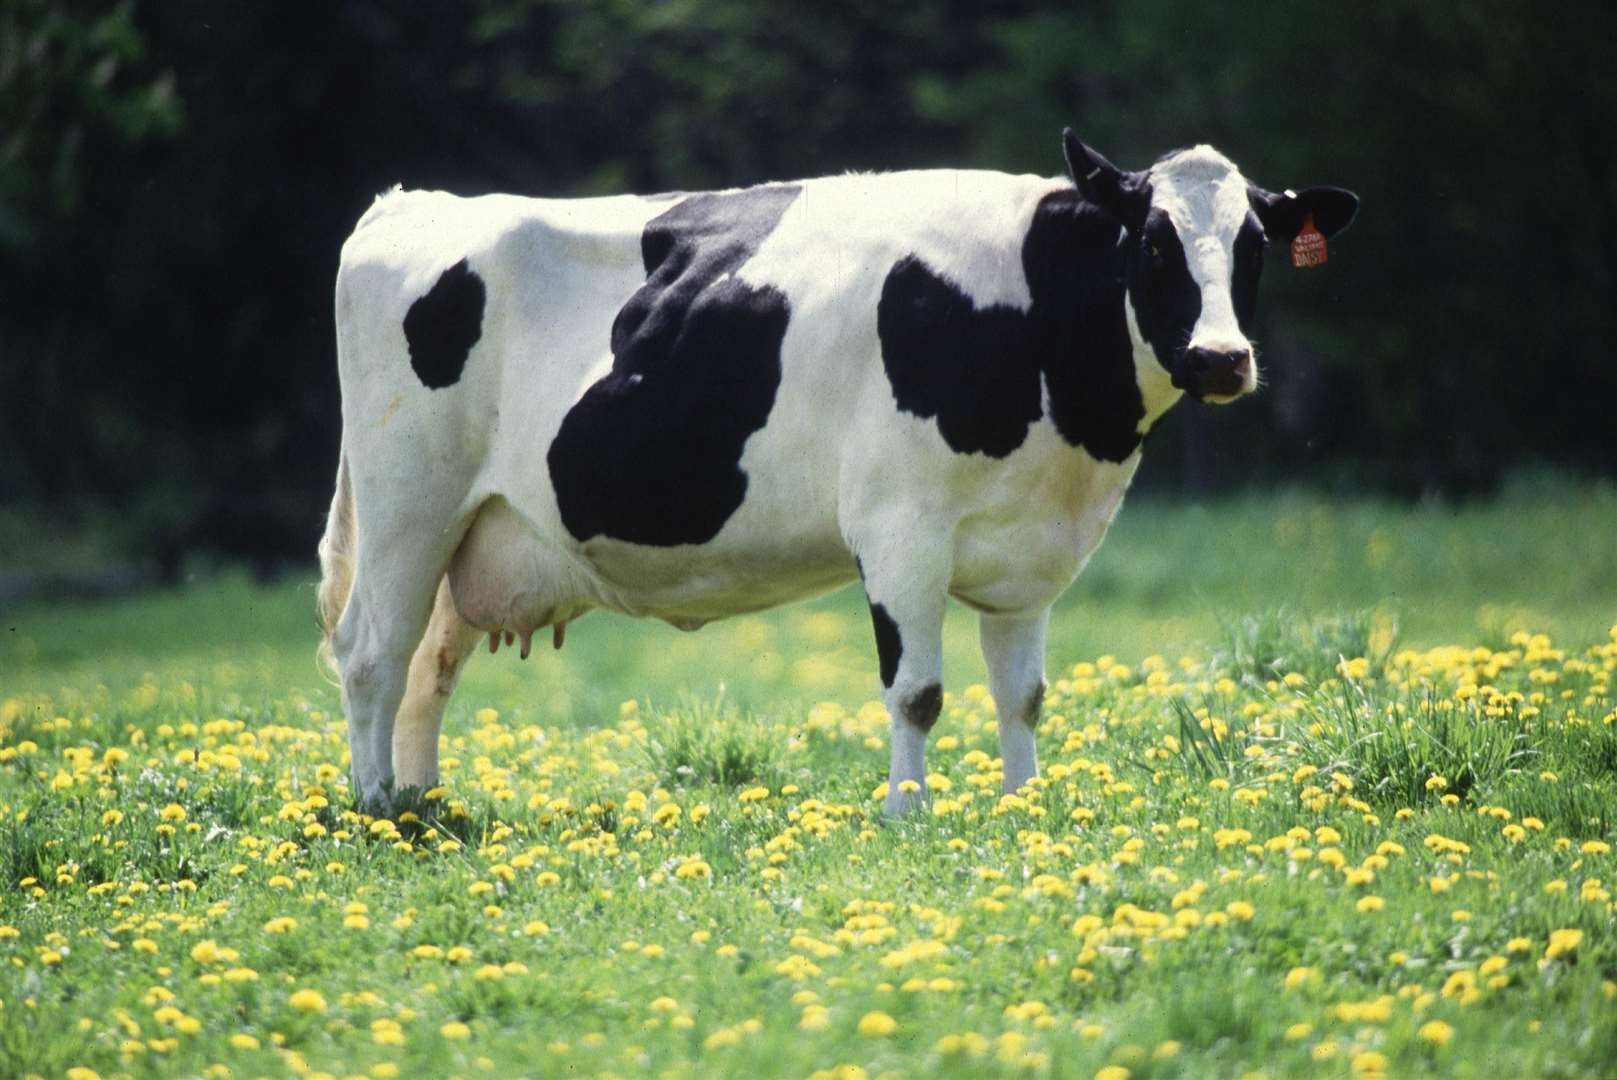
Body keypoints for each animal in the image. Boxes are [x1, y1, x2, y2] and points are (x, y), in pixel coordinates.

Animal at [315, 130, 1351, 814]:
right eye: (1153, 242)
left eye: (1254, 246)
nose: (1220, 358)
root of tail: (410, 203)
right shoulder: (900, 528)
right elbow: (917, 690)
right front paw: (907, 814)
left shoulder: (1029, 553)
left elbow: (1022, 694)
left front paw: (1023, 808)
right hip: (407, 502)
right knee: (371, 652)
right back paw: (377, 810)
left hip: (475, 528)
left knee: (429, 665)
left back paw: (425, 805)